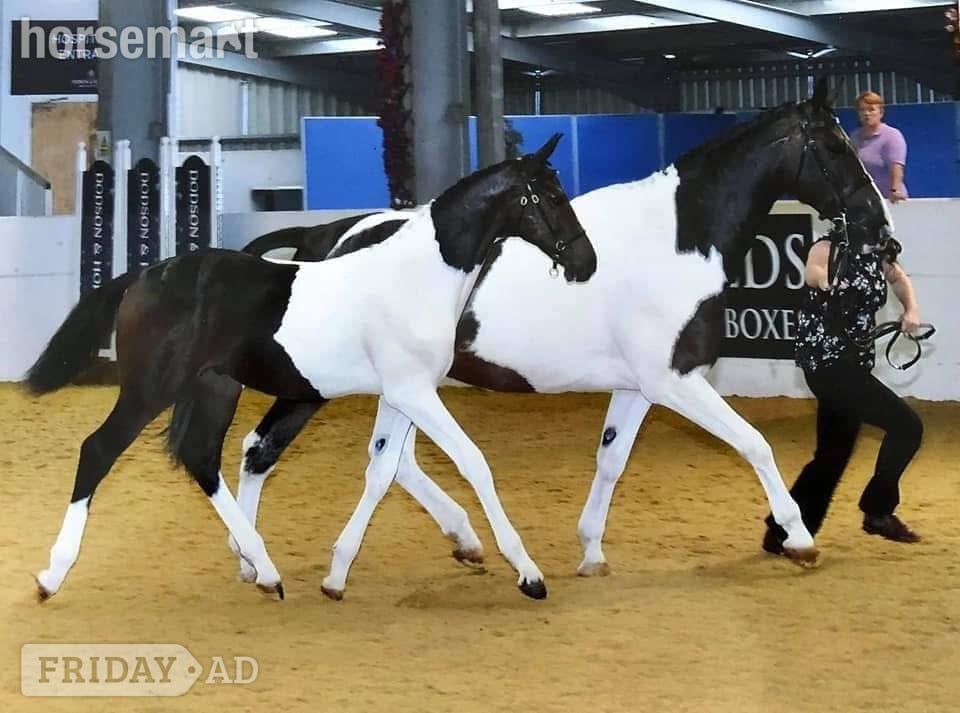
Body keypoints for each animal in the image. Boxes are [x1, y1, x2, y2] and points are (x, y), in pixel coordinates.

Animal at [23, 134, 597, 602]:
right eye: (549, 196)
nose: (585, 262)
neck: (419, 276)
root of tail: (144, 276)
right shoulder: (414, 394)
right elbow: (473, 462)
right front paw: (528, 574)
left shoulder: (403, 394)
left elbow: (385, 469)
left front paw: (337, 576)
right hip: (151, 387)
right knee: (100, 449)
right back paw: (52, 575)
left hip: (215, 389)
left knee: (203, 457)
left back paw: (264, 569)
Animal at [231, 78, 897, 597]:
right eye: (835, 147)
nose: (882, 231)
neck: (678, 242)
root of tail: (322, 239)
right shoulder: (675, 381)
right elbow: (755, 444)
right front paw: (800, 538)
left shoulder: (640, 386)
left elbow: (611, 458)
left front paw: (591, 552)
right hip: (321, 383)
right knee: (261, 450)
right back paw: (255, 562)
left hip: (398, 386)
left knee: (394, 464)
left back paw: (460, 541)